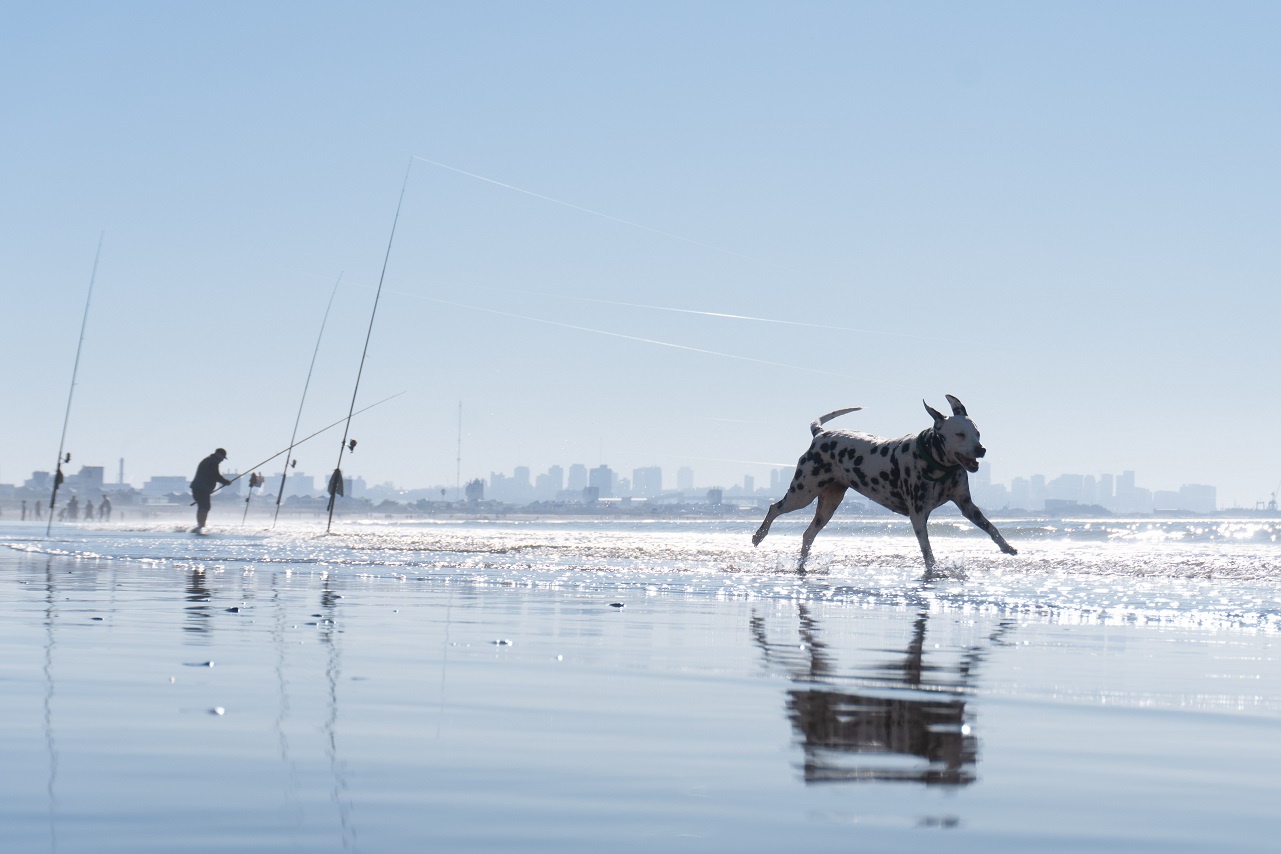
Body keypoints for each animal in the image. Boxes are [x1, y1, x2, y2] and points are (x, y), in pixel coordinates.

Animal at [753, 396, 1014, 571]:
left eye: (977, 433)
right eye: (959, 434)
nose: (981, 449)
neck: (937, 465)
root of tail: (820, 434)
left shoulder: (967, 506)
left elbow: (991, 527)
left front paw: (1007, 547)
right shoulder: (918, 515)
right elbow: (927, 551)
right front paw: (933, 570)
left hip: (828, 504)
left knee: (808, 534)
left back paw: (801, 564)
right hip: (802, 492)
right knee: (774, 508)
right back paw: (759, 535)